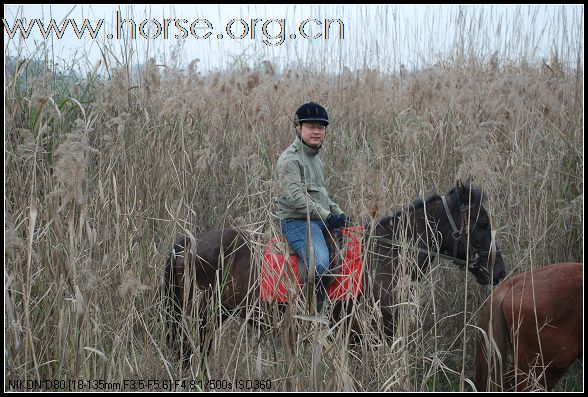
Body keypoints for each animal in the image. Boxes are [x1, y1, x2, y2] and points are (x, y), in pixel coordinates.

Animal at [164, 181, 506, 364]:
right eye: (481, 223)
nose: (499, 271)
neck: (383, 256)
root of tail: (186, 243)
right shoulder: (360, 335)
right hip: (200, 318)